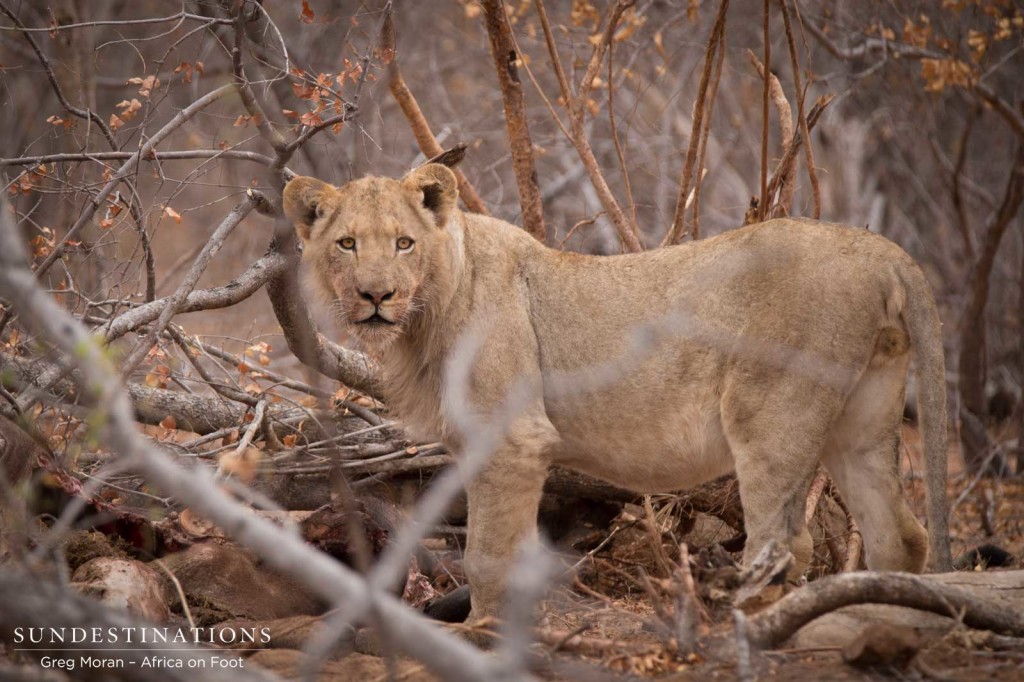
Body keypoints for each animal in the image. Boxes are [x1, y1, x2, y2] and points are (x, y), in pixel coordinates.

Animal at [284, 161, 954, 618]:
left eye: (404, 242)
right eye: (347, 243)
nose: (375, 295)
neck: (431, 309)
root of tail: (881, 249)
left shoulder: (512, 441)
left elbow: (488, 556)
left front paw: (480, 635)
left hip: (769, 415)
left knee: (784, 543)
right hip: (861, 420)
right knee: (902, 535)